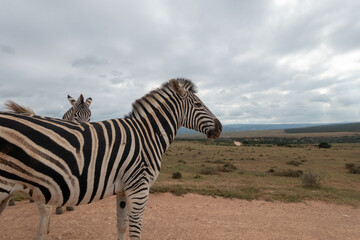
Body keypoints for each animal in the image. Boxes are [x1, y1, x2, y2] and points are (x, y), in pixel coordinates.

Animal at [0, 78, 222, 239]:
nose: (220, 128)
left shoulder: (124, 189)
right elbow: (135, 231)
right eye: (198, 104)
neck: (147, 135)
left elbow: (121, 226)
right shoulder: (140, 188)